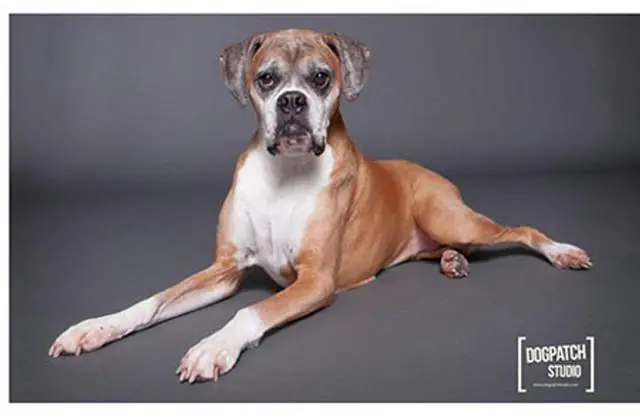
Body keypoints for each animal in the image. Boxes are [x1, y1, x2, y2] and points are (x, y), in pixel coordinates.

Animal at [49, 28, 592, 383]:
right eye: (266, 79)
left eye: (321, 77)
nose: (292, 102)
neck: (284, 175)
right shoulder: (224, 270)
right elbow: (152, 302)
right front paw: (95, 328)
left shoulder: (314, 281)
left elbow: (249, 313)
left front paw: (212, 347)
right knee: (450, 249)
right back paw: (453, 262)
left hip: (450, 216)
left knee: (520, 231)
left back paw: (561, 251)